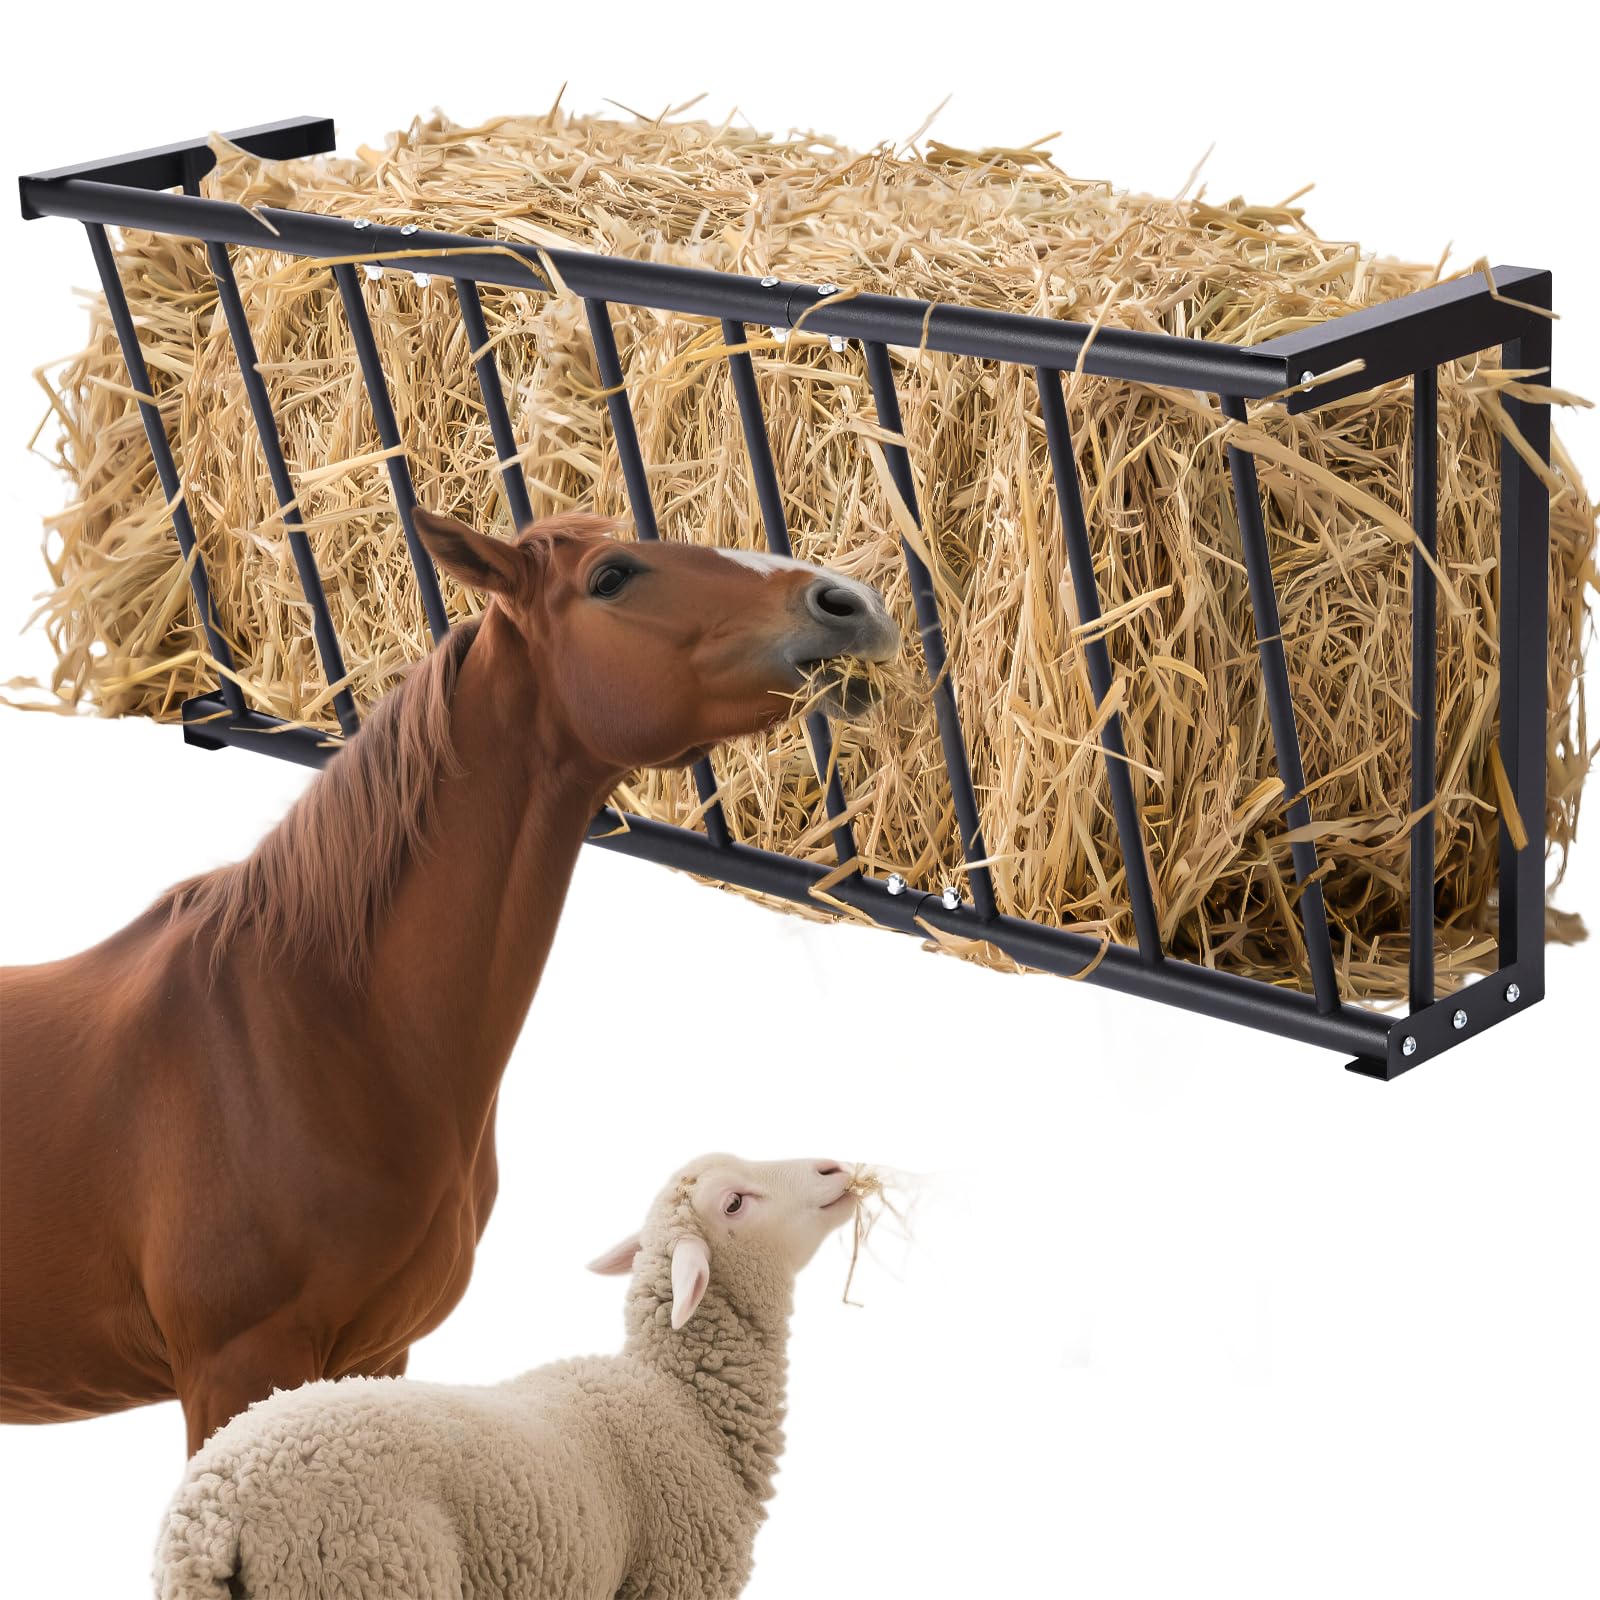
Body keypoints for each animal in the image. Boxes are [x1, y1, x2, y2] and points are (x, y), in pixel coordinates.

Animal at [154, 1153, 864, 1599]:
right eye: (735, 1203)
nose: (835, 1168)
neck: (680, 1398)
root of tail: (211, 1518)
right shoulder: (673, 1582)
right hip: (368, 1573)